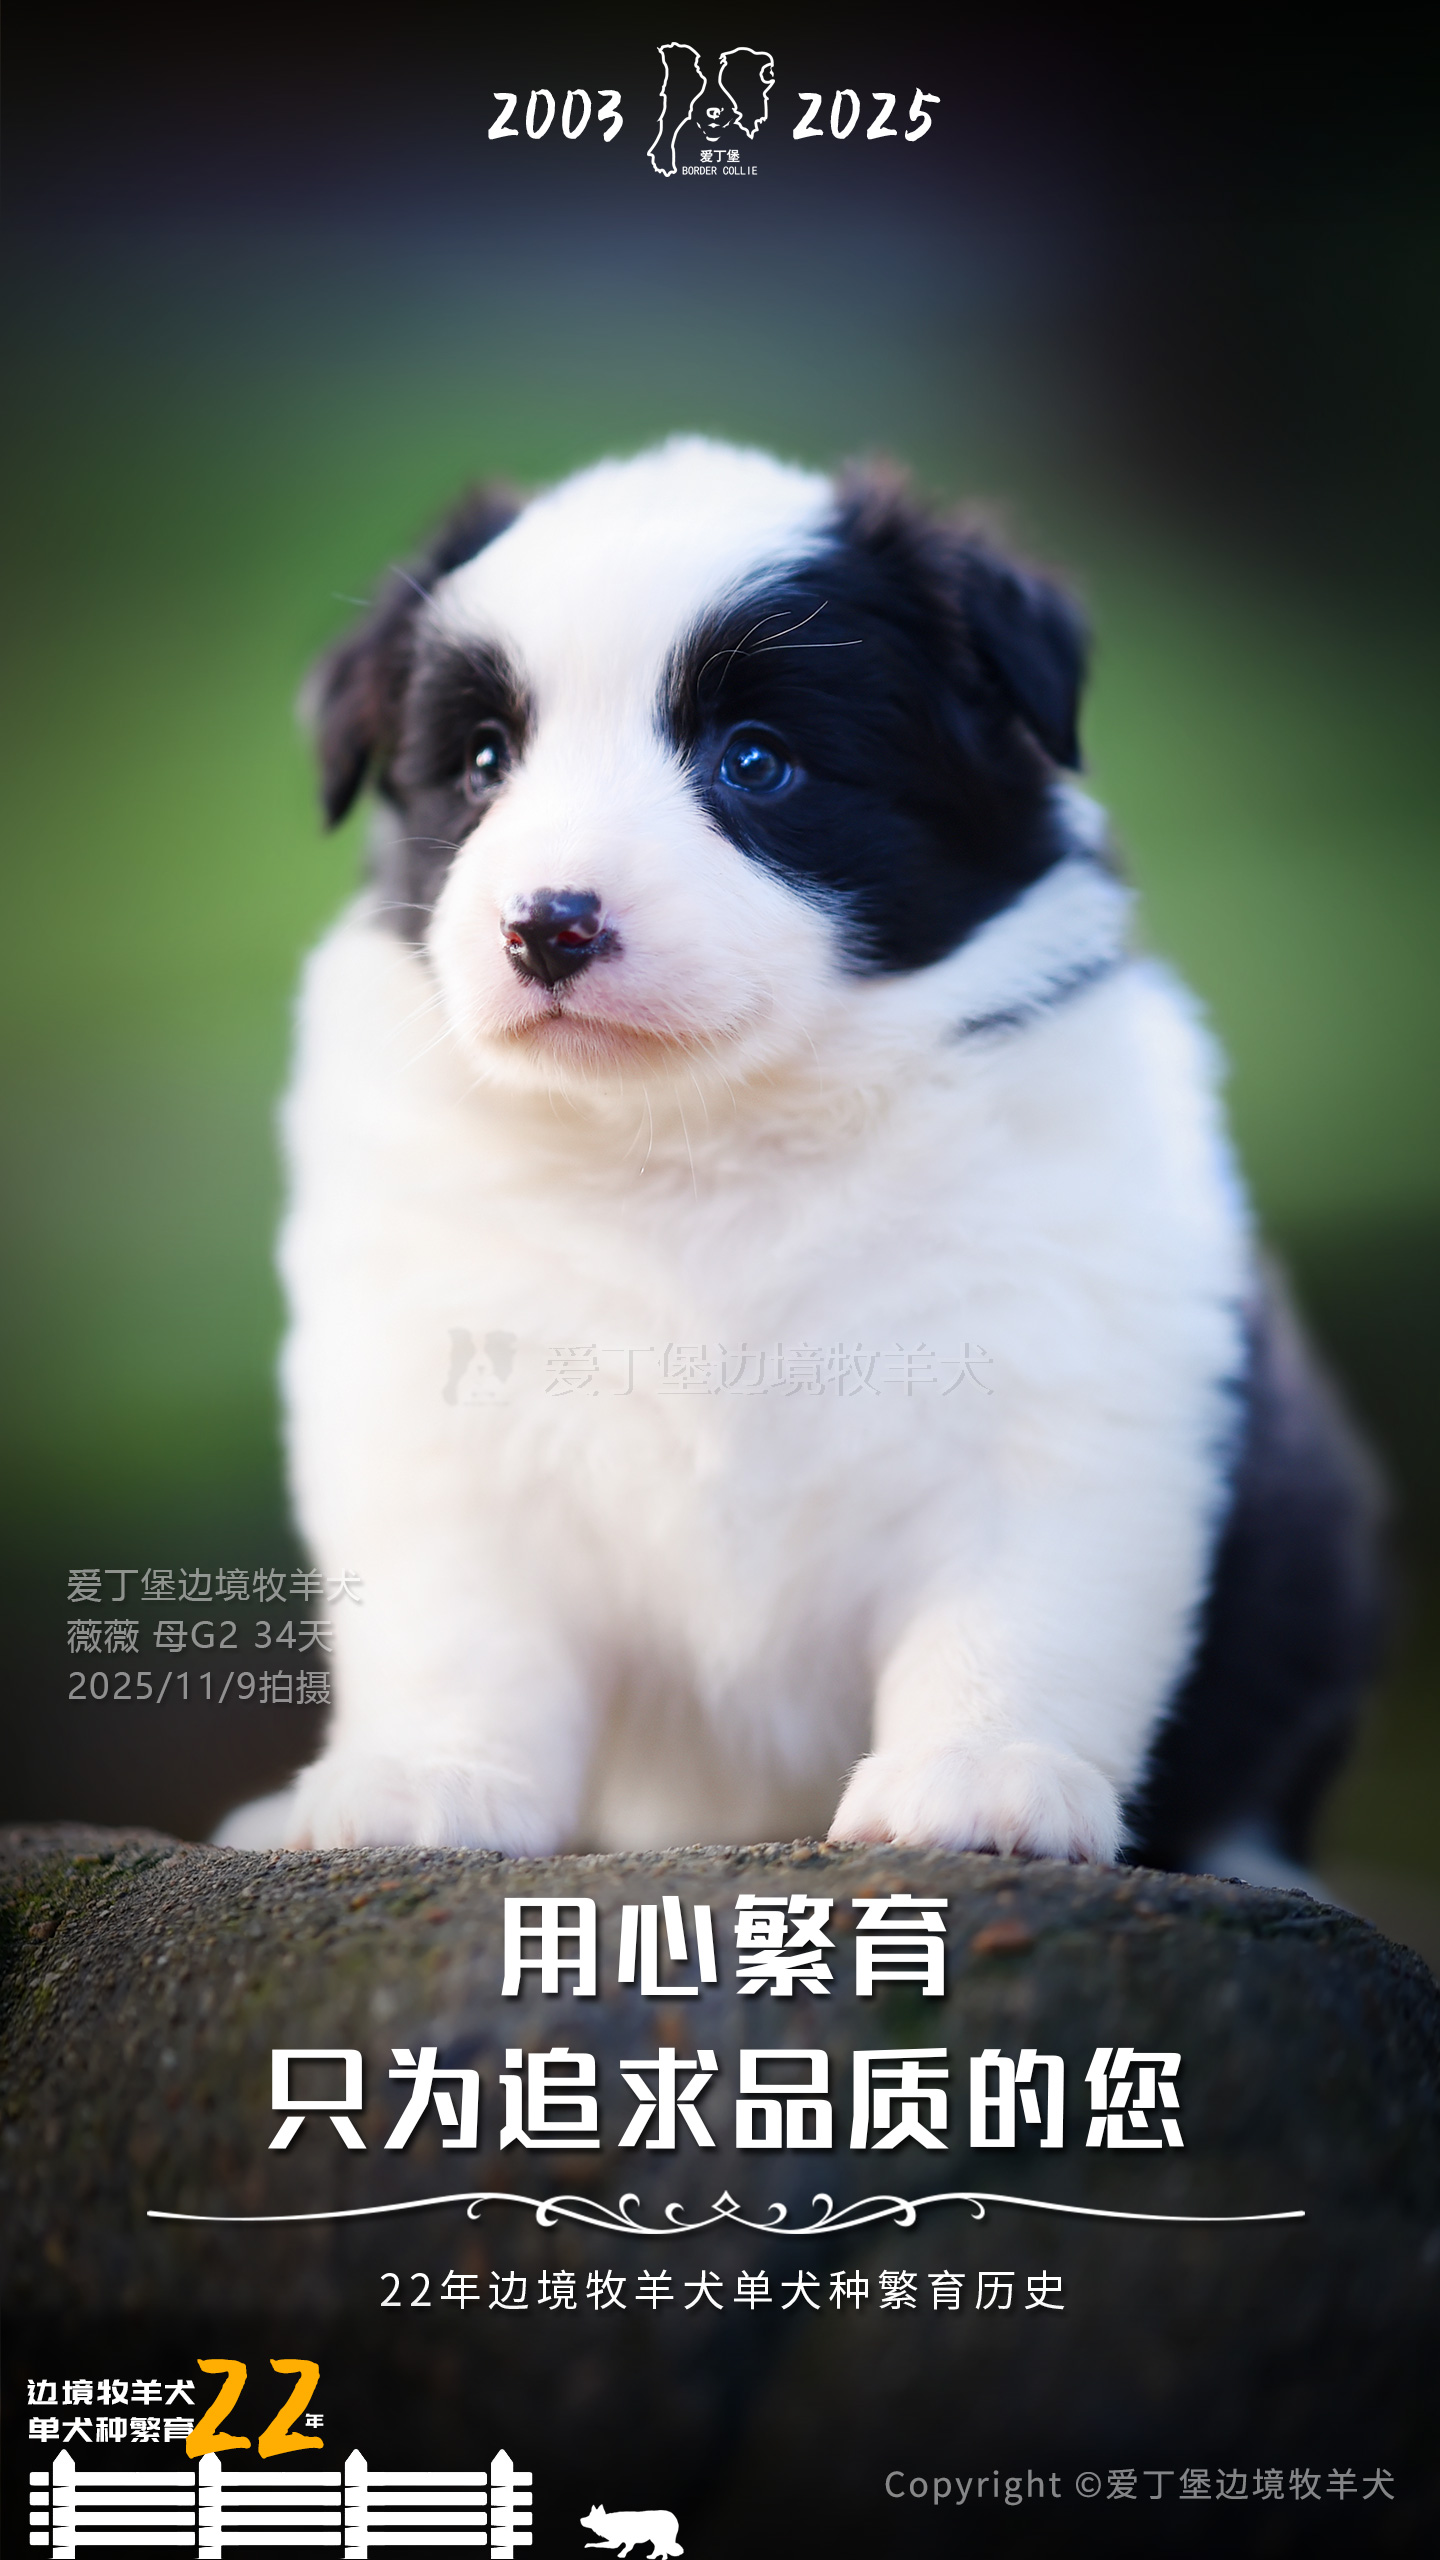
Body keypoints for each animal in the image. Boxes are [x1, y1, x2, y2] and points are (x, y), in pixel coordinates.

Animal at [217, 437, 1380, 1876]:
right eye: (484, 762)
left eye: (757, 761)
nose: (548, 926)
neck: (700, 1142)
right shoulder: (434, 1394)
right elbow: (459, 1620)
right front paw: (426, 1781)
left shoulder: (1064, 1375)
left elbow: (1019, 1601)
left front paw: (979, 1777)